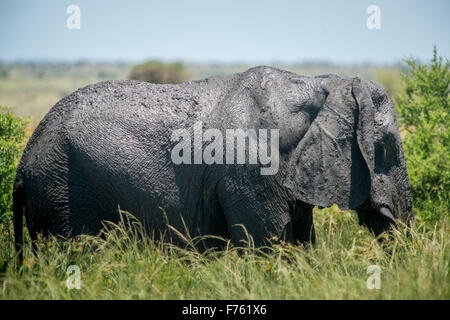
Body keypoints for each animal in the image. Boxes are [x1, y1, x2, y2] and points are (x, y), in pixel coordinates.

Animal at [13, 65, 414, 258]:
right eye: (385, 149)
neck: (319, 84)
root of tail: (23, 161)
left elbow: (299, 244)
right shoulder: (247, 174)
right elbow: (269, 249)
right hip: (61, 192)